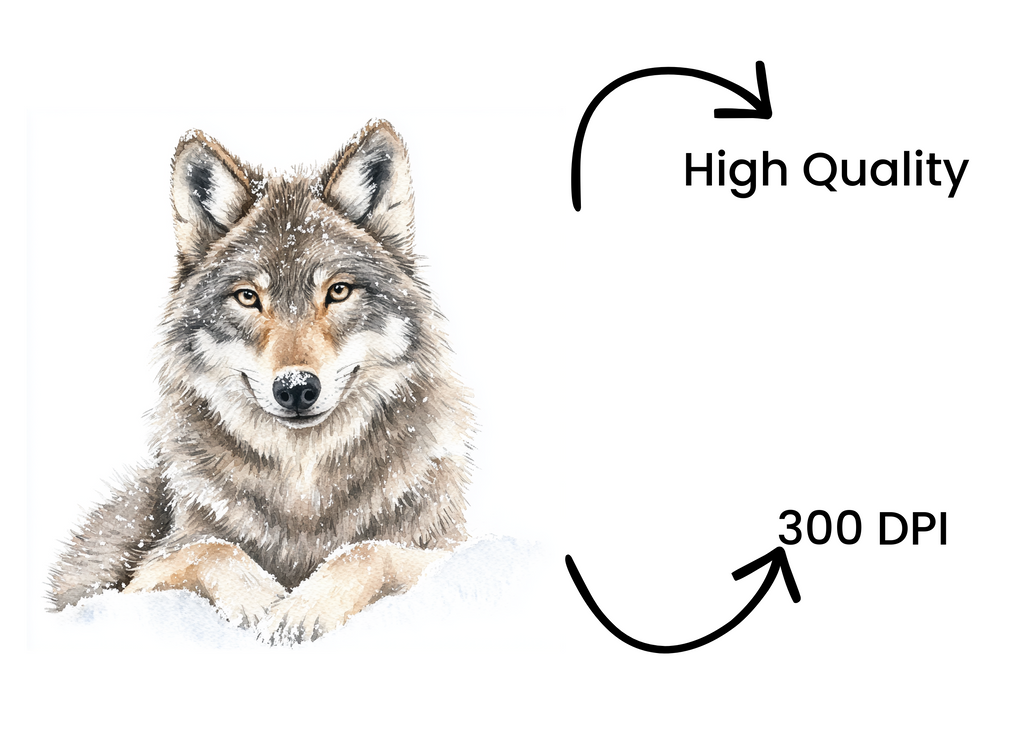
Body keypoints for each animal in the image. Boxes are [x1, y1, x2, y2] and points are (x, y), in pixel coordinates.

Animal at [48, 121, 474, 644]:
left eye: (338, 291)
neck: (303, 490)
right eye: (248, 297)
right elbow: (209, 548)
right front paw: (263, 600)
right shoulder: (137, 580)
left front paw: (303, 610)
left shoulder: (449, 550)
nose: (295, 387)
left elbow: (365, 550)